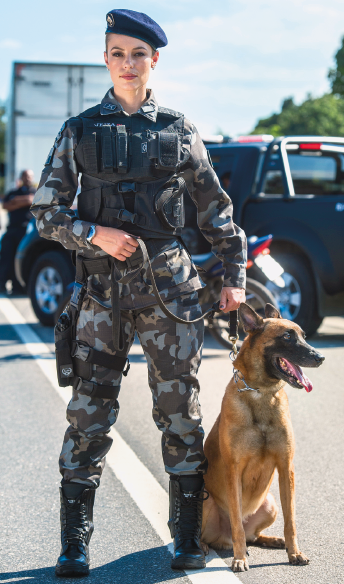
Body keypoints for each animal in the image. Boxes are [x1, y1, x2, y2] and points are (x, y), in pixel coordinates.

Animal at [200, 304, 324, 572]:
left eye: (303, 336)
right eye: (287, 336)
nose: (321, 357)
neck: (262, 394)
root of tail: (222, 539)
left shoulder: (286, 468)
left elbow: (291, 521)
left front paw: (294, 552)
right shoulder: (233, 471)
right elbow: (236, 521)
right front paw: (239, 559)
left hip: (270, 504)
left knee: (252, 536)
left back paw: (273, 541)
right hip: (205, 501)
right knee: (224, 534)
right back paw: (203, 547)